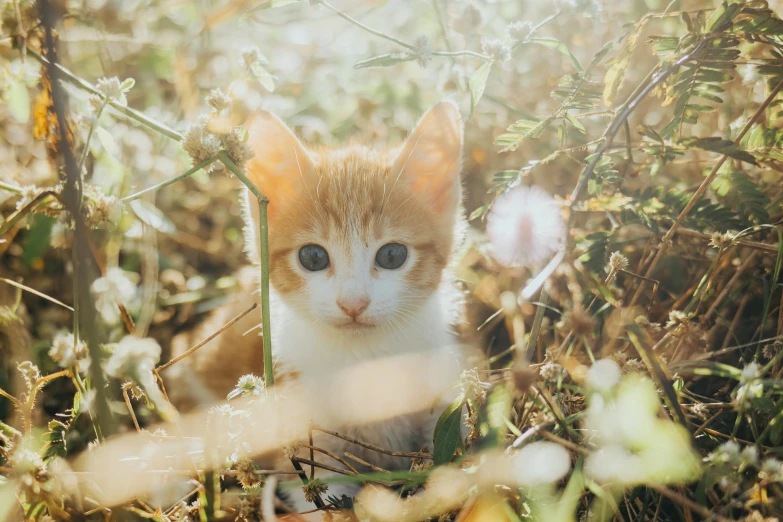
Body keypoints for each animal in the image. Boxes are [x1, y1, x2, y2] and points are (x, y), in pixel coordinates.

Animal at [167, 101, 472, 512]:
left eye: (392, 255)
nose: (353, 303)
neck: (364, 358)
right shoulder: (300, 439)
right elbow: (318, 496)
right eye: (312, 257)